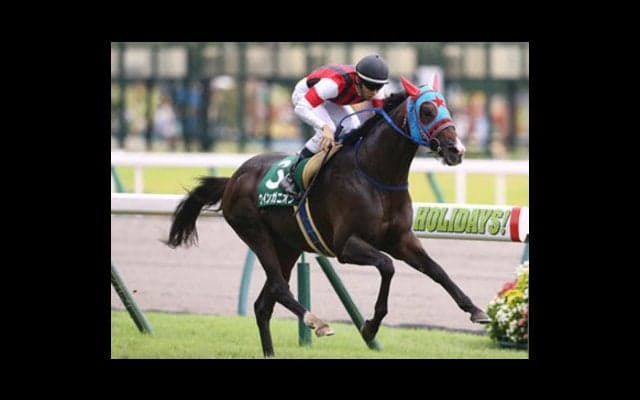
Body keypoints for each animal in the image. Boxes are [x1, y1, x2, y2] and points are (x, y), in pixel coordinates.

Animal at [166, 76, 490, 357]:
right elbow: (387, 266)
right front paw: (370, 327)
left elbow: (437, 270)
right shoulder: (345, 246)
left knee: (263, 304)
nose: (457, 150)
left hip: (287, 246)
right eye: (427, 110)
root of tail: (233, 178)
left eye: (447, 108)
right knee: (280, 287)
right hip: (255, 233)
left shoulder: (402, 239)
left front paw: (477, 311)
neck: (376, 174)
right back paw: (317, 322)